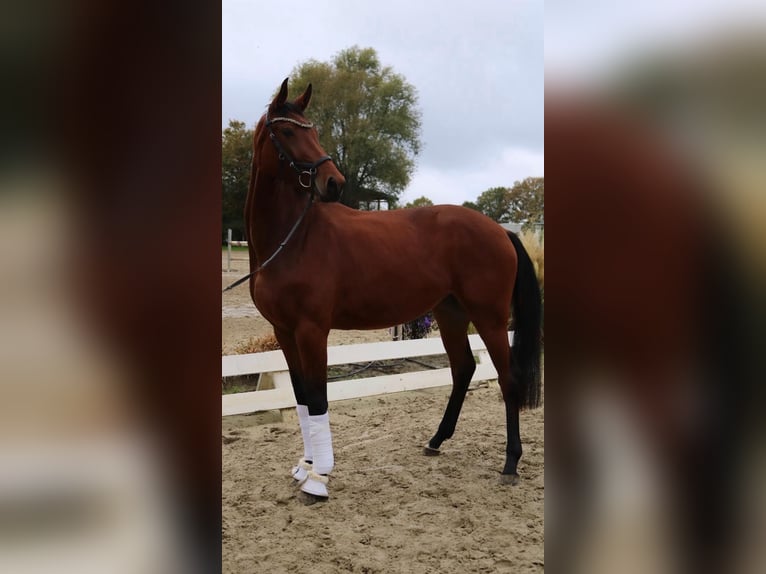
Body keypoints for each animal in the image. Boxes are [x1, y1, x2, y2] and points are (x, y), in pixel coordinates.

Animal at [245, 78, 542, 504]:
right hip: (450, 313)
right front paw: (305, 466)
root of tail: (500, 230)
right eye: (286, 132)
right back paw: (436, 441)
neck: (293, 238)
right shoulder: (284, 332)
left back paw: (511, 463)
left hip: (489, 317)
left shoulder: (312, 331)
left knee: (507, 377)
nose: (334, 182)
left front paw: (319, 478)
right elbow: (301, 397)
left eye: (313, 131)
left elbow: (317, 398)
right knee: (464, 369)